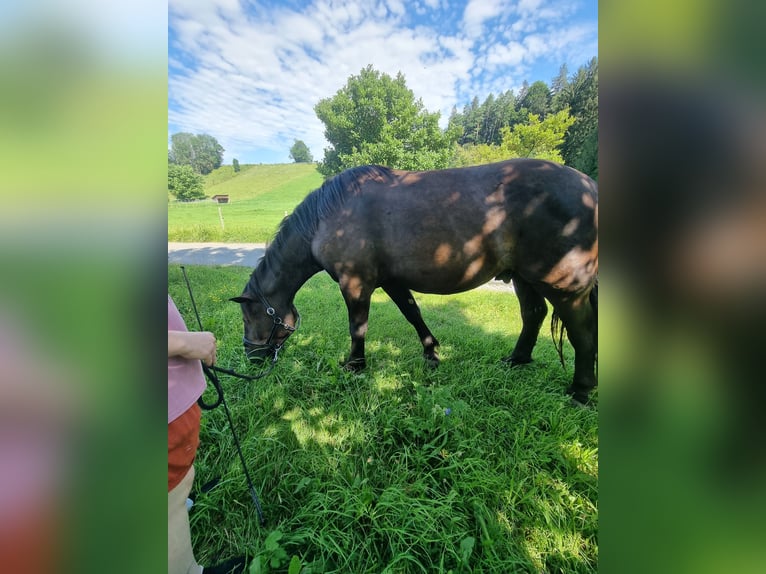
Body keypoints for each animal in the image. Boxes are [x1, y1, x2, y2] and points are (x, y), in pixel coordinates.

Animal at [231, 159, 604, 404]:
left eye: (250, 316)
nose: (251, 357)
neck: (328, 218)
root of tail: (590, 186)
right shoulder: (391, 281)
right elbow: (413, 314)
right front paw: (431, 353)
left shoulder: (356, 284)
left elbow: (358, 327)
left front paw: (355, 366)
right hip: (525, 278)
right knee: (533, 315)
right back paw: (516, 360)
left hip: (563, 286)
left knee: (583, 332)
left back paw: (581, 391)